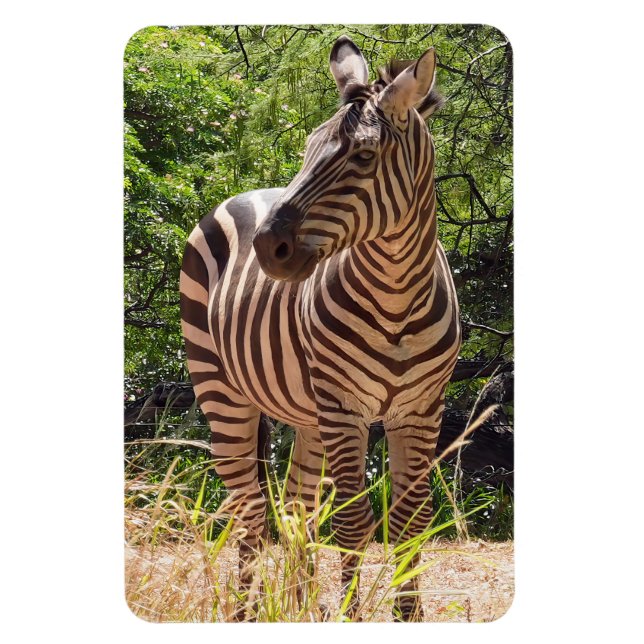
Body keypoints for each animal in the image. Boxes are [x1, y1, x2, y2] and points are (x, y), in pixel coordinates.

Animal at [179, 35, 461, 621]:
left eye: (363, 156)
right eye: (308, 148)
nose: (267, 247)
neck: (397, 299)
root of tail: (246, 193)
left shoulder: (421, 409)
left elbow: (412, 521)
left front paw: (405, 613)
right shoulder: (343, 406)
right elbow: (353, 523)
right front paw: (351, 613)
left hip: (306, 414)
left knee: (295, 509)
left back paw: (299, 606)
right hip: (223, 393)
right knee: (250, 510)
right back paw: (248, 612)